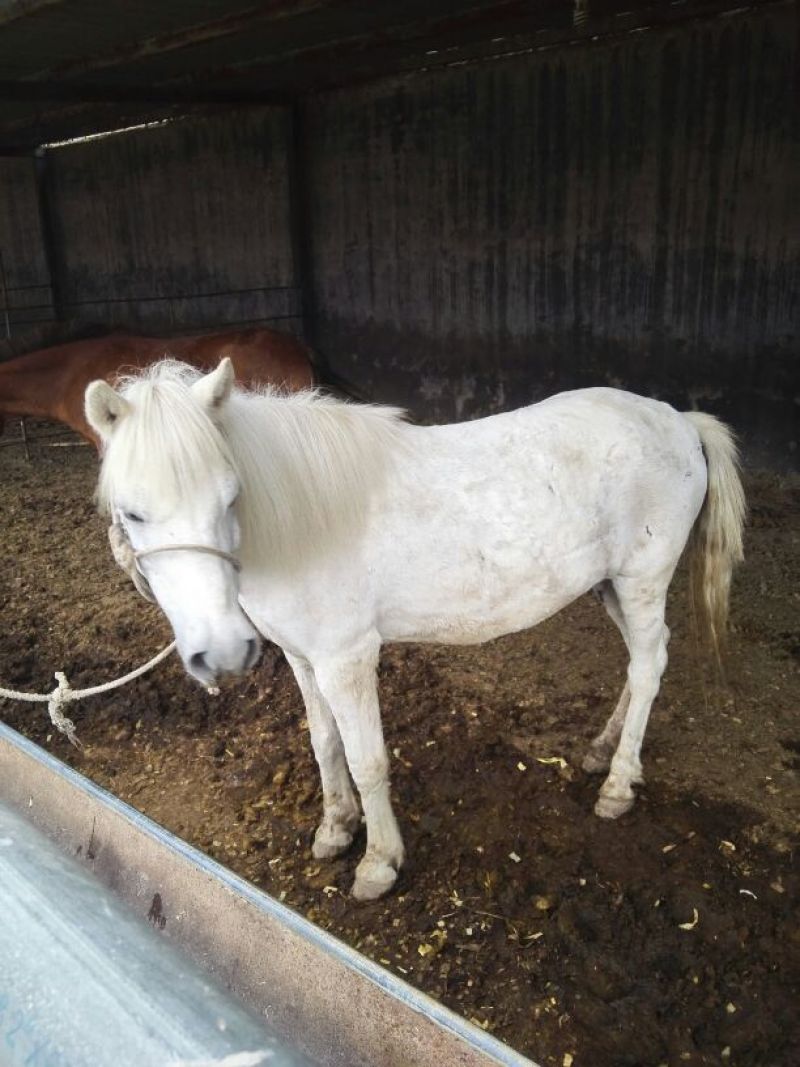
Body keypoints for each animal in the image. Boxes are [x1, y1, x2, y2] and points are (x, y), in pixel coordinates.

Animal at [85, 359, 745, 901]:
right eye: (132, 513)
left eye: (230, 498)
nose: (221, 654)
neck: (302, 520)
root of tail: (678, 420)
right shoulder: (302, 658)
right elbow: (324, 744)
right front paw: (335, 828)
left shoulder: (347, 659)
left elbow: (367, 759)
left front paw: (378, 863)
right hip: (609, 586)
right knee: (643, 660)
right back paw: (603, 751)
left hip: (641, 580)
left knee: (650, 664)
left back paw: (617, 786)